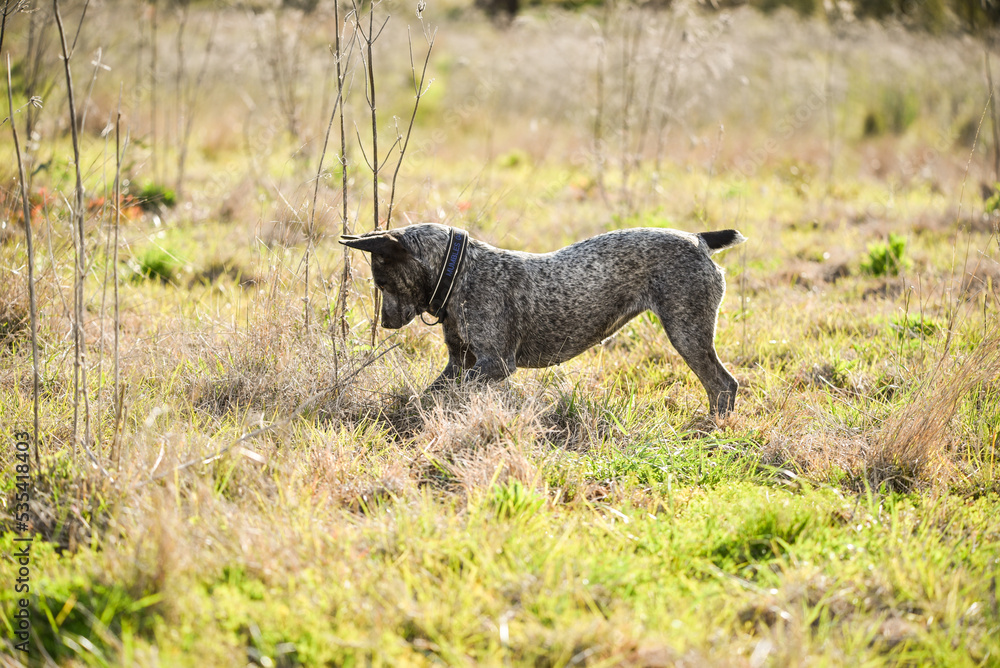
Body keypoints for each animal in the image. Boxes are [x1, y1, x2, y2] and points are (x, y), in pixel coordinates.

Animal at [342, 224, 744, 412]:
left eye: (380, 282)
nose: (385, 323)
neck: (459, 273)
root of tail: (697, 239)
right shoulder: (460, 363)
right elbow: (432, 396)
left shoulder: (495, 364)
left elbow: (451, 396)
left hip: (687, 332)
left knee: (723, 385)